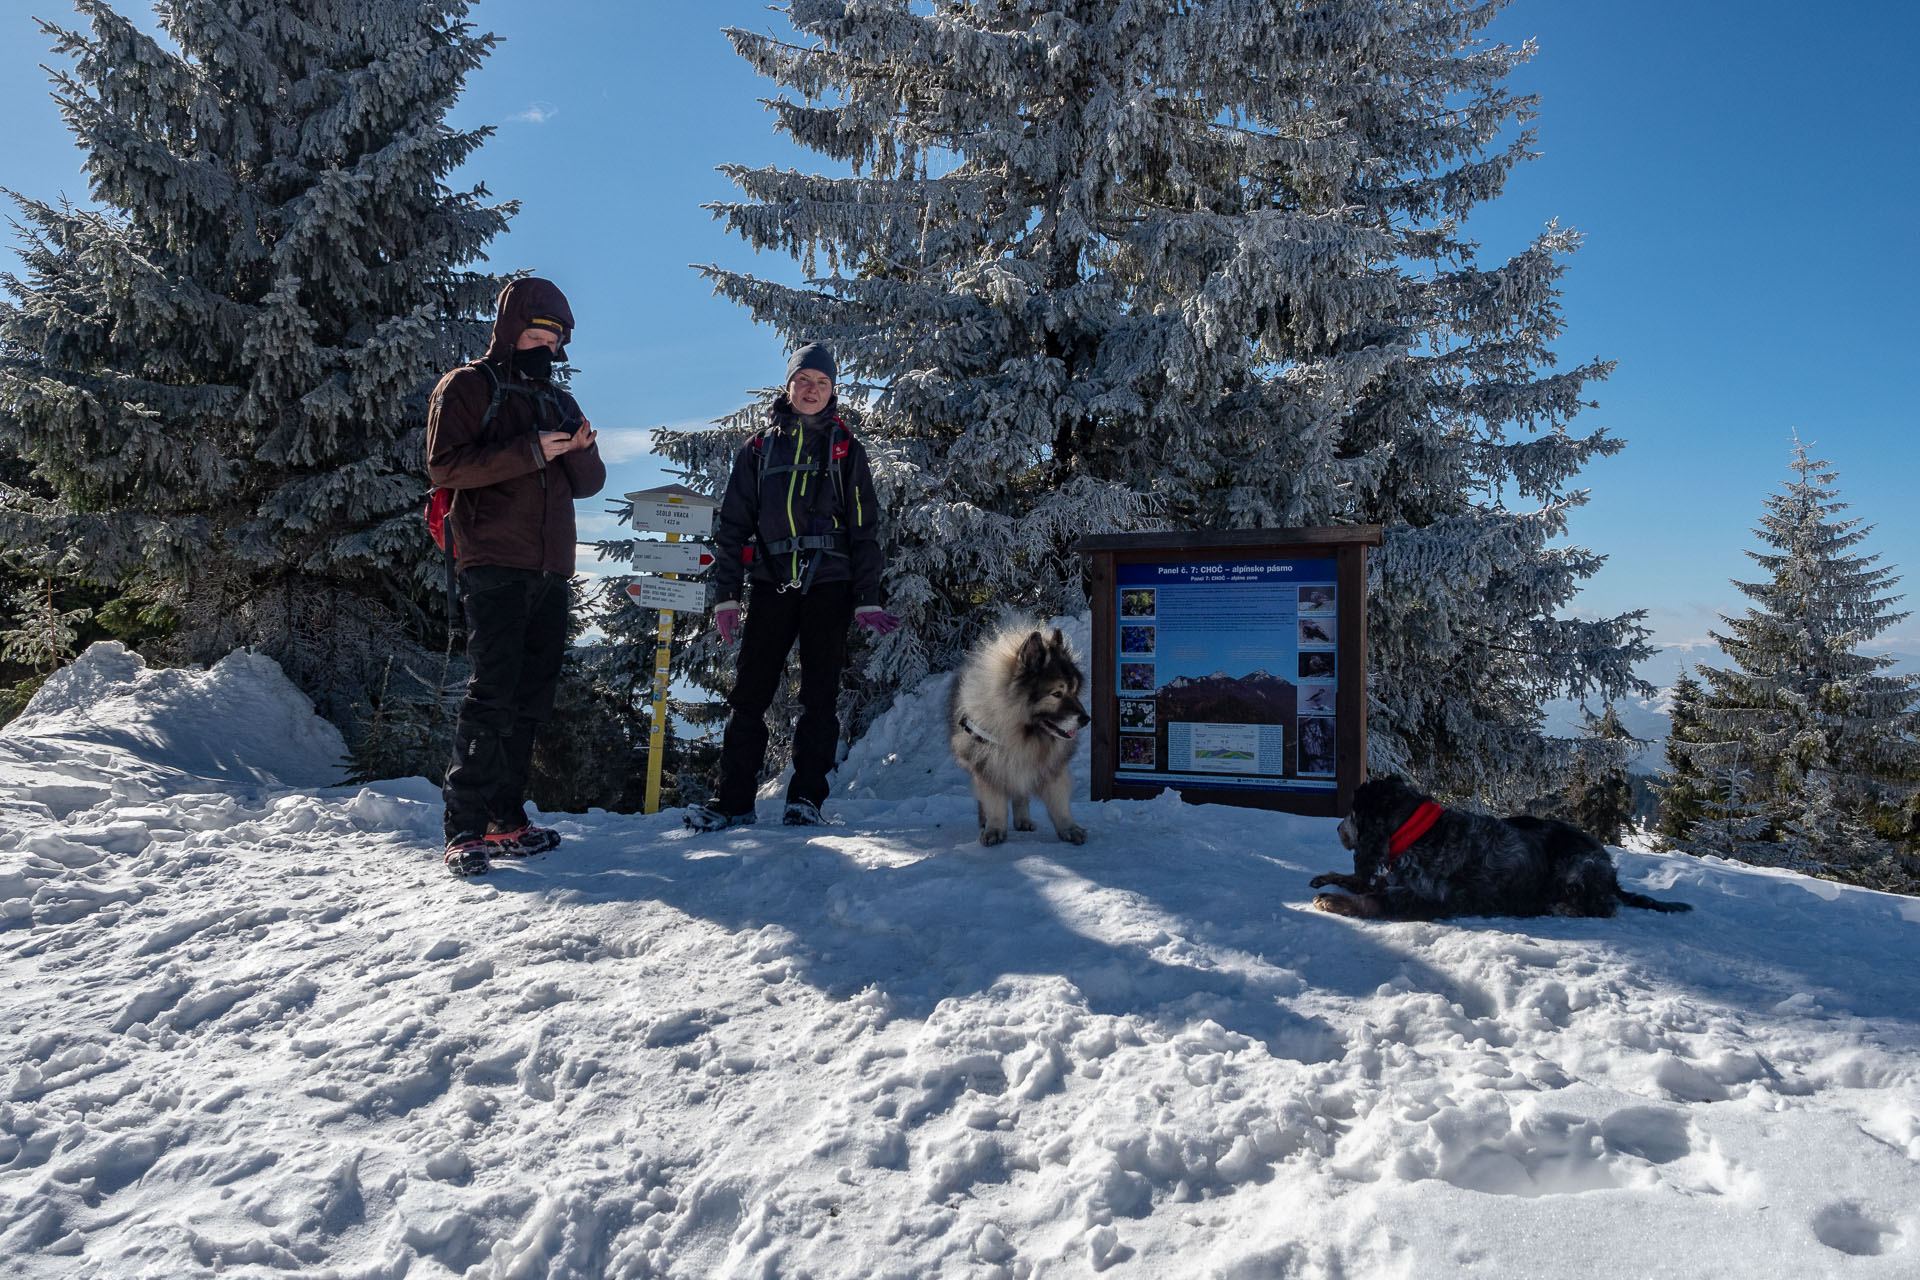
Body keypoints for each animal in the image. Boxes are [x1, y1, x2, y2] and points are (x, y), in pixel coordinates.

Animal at [948, 625, 1090, 844]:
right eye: (1057, 694)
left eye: (1075, 691)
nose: (1086, 719)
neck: (1023, 734)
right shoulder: (989, 765)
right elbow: (994, 803)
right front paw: (994, 829)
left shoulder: (1051, 767)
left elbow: (1059, 803)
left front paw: (1069, 828)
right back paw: (984, 820)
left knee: (1020, 794)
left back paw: (1023, 820)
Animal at [1305, 771, 1697, 921]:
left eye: (1353, 812)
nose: (1337, 828)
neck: (1415, 832)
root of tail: (1610, 870)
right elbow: (1362, 882)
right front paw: (1328, 879)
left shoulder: (1427, 898)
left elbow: (1373, 899)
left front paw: (1334, 900)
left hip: (1576, 866)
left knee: (1604, 906)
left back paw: (1563, 906)